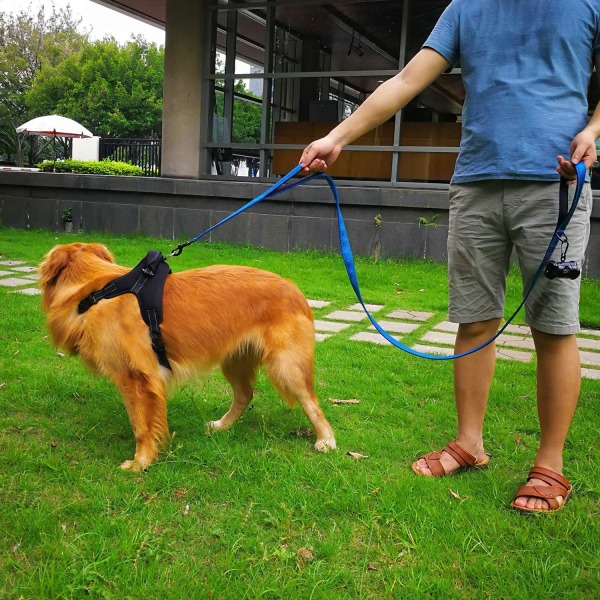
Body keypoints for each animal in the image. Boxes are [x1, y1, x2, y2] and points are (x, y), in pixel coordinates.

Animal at [39, 241, 336, 472]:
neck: (97, 291)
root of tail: (295, 290)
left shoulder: (137, 378)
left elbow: (141, 425)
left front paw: (141, 462)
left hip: (286, 365)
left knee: (311, 400)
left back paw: (326, 439)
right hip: (235, 360)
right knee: (244, 395)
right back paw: (222, 425)